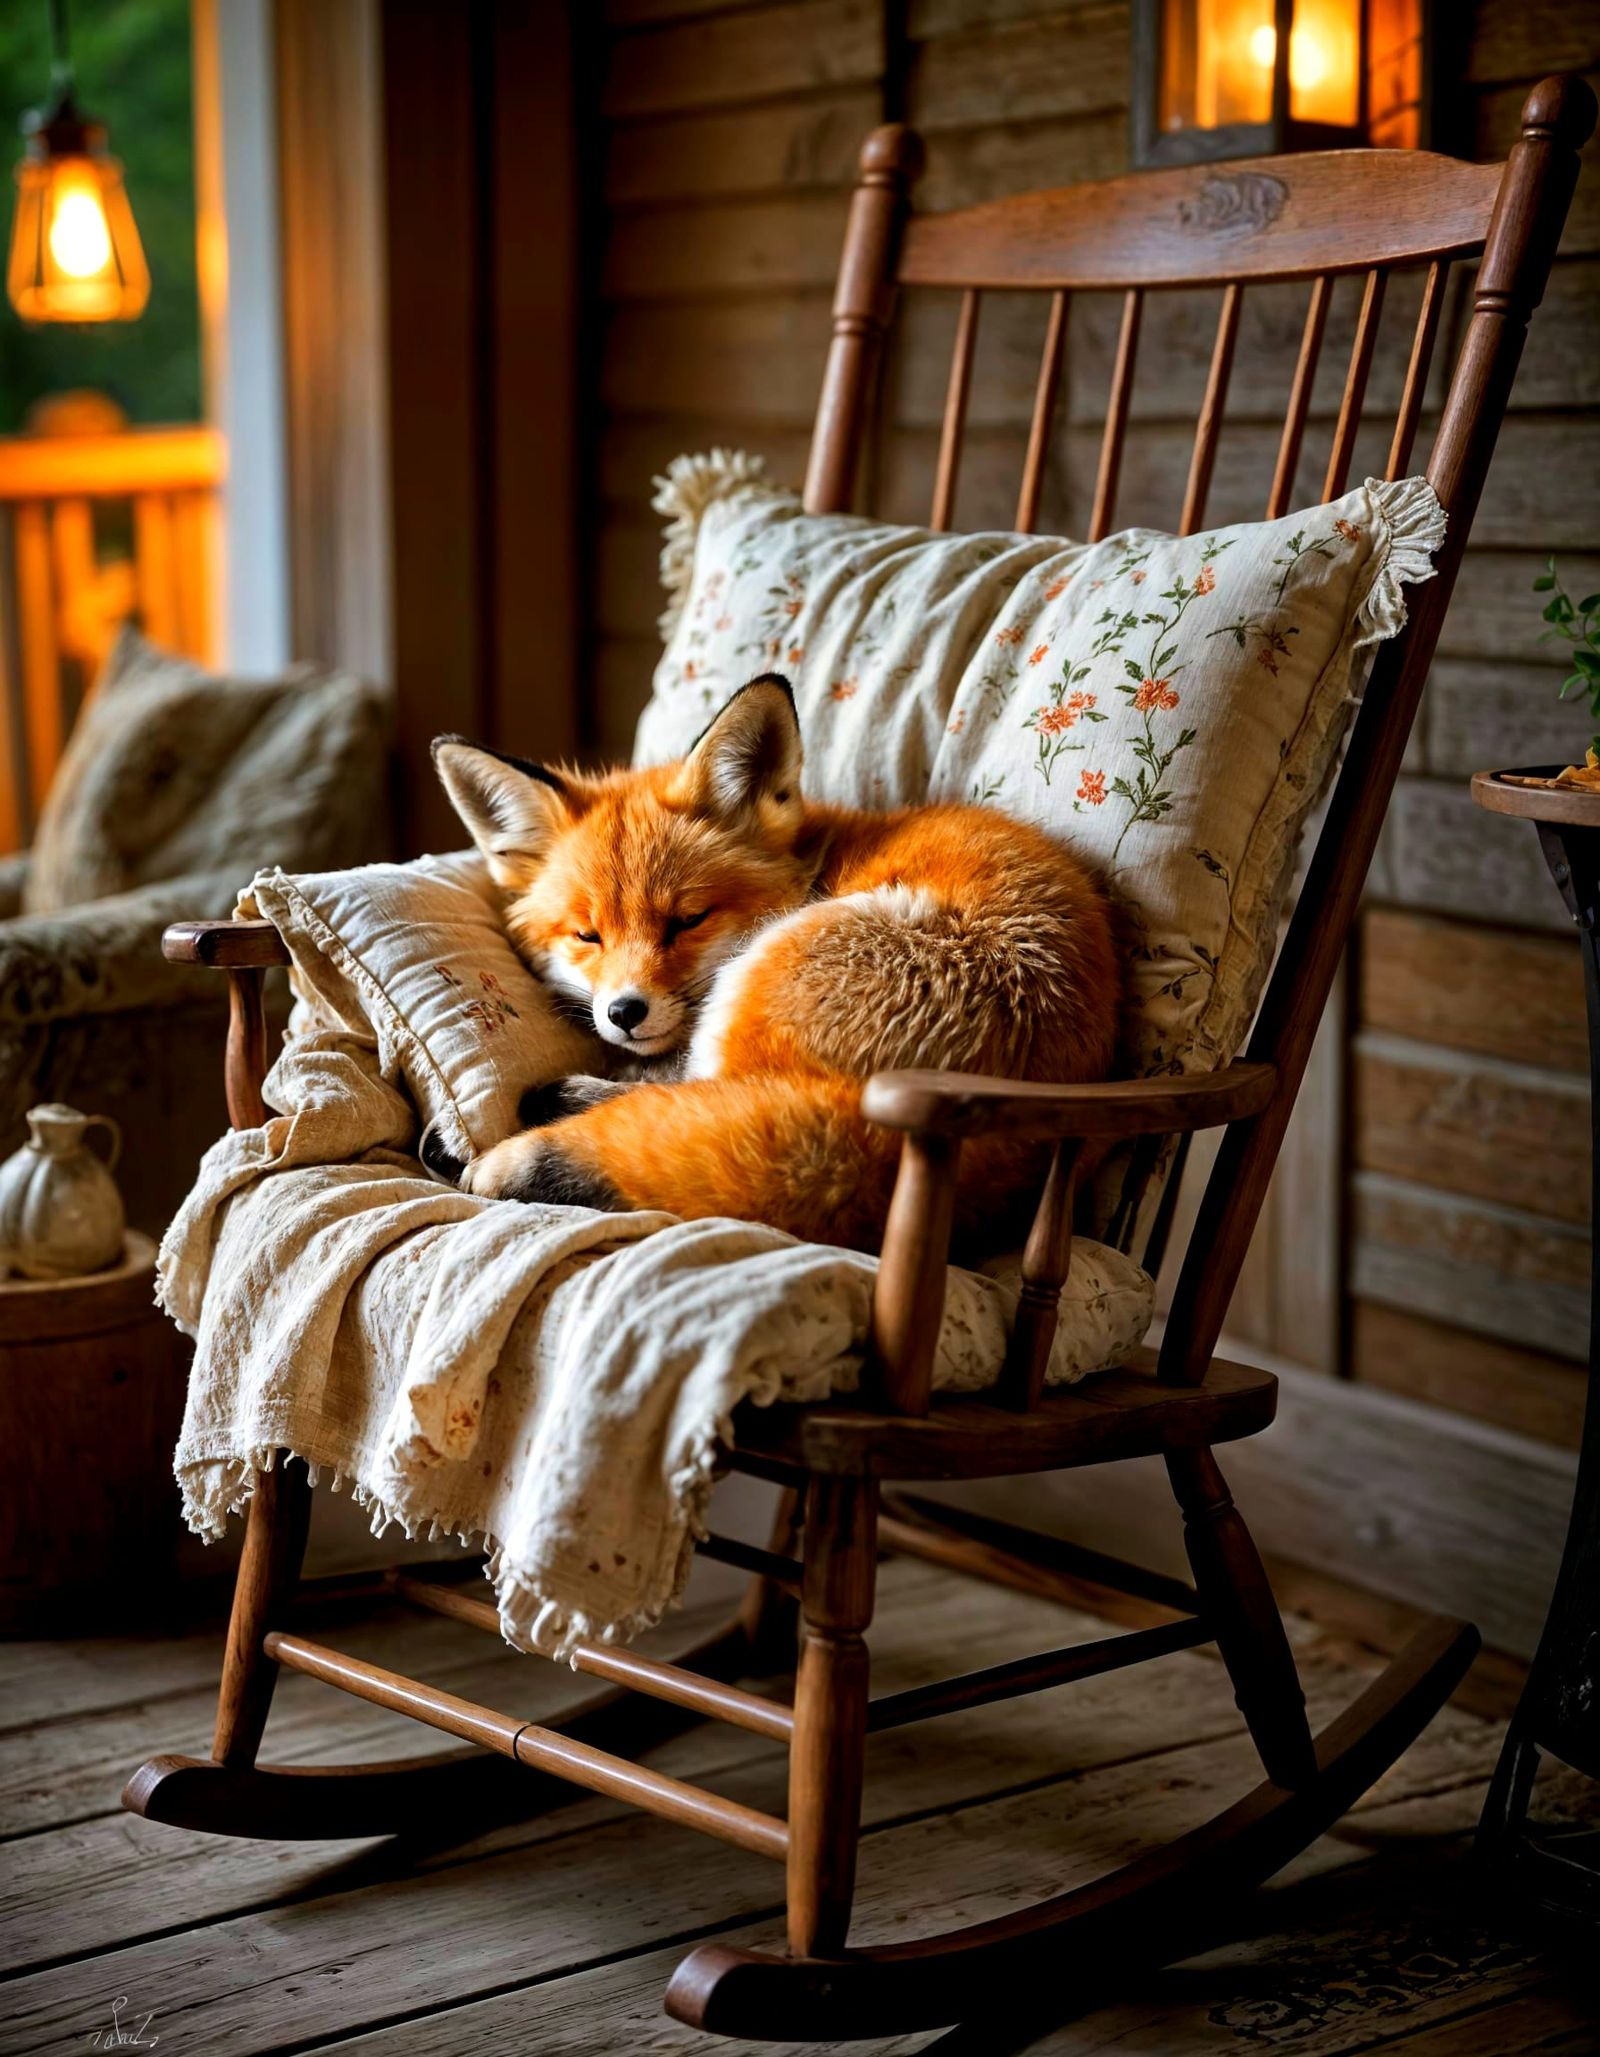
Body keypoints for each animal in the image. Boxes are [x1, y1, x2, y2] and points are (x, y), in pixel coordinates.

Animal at [431, 675, 1121, 1254]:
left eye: (688, 920)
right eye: (587, 935)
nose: (624, 1011)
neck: (814, 859)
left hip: (763, 971)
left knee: (696, 1094)